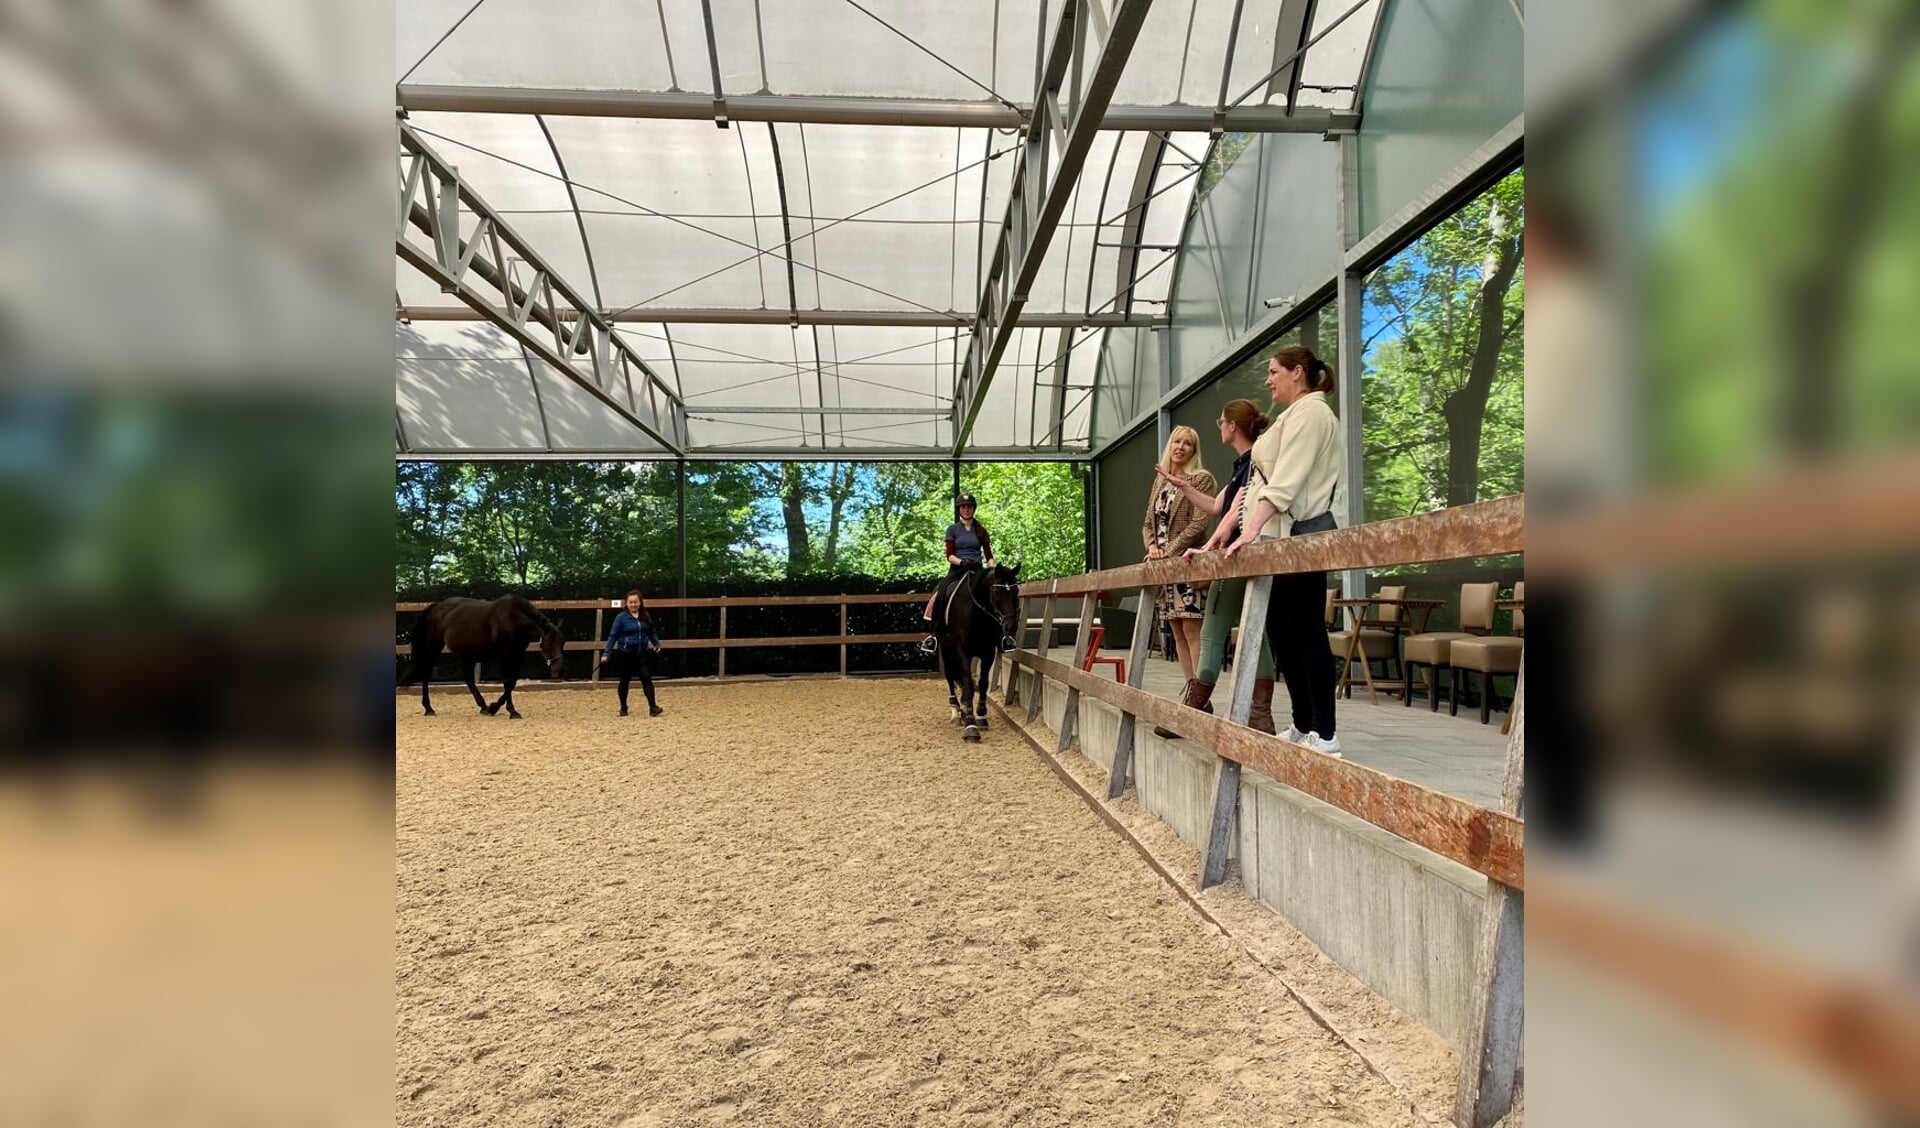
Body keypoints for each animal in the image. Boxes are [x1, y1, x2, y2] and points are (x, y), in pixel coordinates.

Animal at [397, 594, 560, 717]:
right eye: (547, 644)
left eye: (561, 643)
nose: (557, 671)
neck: (513, 618)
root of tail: (436, 607)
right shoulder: (505, 654)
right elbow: (508, 682)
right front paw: (503, 709)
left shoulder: (517, 654)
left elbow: (512, 682)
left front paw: (504, 709)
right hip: (434, 647)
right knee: (426, 675)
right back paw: (429, 709)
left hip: (467, 655)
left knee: (468, 679)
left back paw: (483, 707)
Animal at [933, 560, 1021, 740]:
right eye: (996, 591)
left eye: (1016, 590)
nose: (1011, 627)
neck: (977, 614)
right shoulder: (962, 652)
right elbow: (968, 684)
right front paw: (970, 726)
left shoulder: (988, 653)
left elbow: (982, 684)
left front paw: (981, 716)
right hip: (946, 649)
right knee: (950, 677)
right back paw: (955, 711)